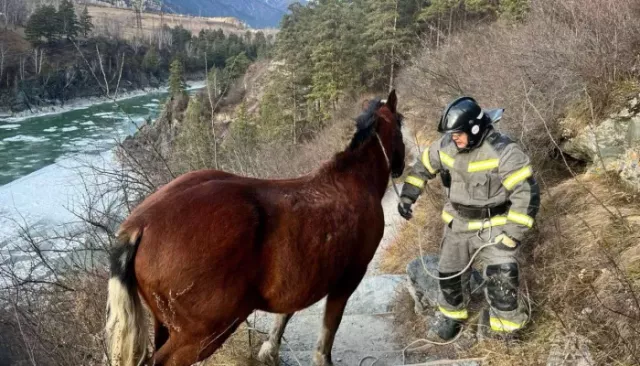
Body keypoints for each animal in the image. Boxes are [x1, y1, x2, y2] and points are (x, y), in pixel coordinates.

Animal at [104, 89, 404, 366]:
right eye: (401, 123)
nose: (401, 166)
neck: (352, 179)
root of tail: (141, 224)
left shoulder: (301, 279)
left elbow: (286, 313)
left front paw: (269, 349)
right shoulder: (350, 275)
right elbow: (329, 329)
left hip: (166, 324)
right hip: (203, 333)